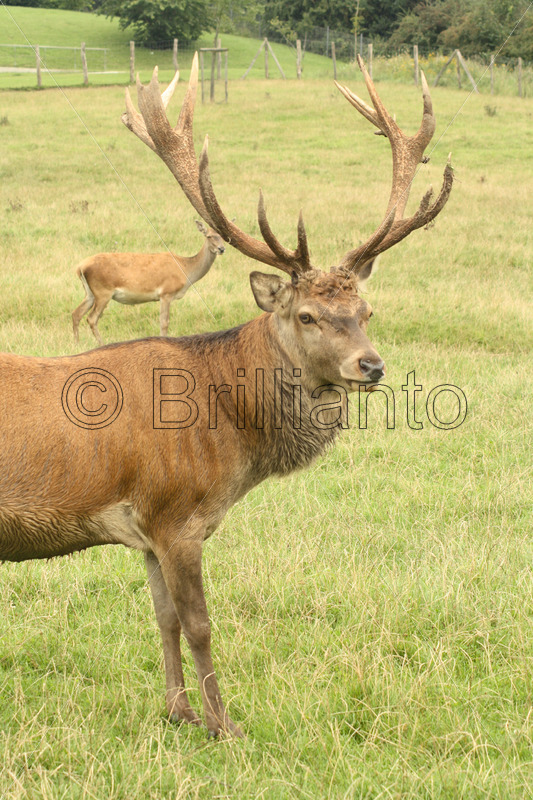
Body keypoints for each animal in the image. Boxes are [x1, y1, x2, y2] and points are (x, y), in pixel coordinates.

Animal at [71, 219, 225, 344]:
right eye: (209, 236)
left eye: (222, 236)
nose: (221, 249)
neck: (185, 270)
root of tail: (80, 267)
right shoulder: (166, 293)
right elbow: (164, 322)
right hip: (103, 292)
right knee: (92, 318)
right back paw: (101, 344)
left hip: (90, 293)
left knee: (76, 313)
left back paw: (77, 343)